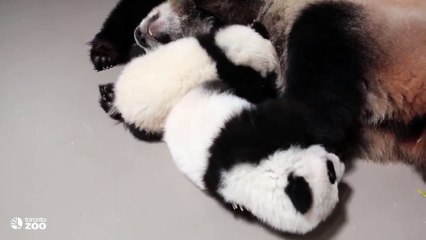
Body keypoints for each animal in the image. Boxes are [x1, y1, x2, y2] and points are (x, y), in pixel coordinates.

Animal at [99, 23, 280, 141]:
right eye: (264, 82)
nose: (273, 82)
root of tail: (121, 103)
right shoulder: (234, 76)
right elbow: (250, 91)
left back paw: (107, 95)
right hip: (149, 119)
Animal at [163, 80, 346, 232]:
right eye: (331, 174)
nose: (340, 164)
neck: (267, 170)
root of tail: (172, 112)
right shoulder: (247, 142)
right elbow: (289, 111)